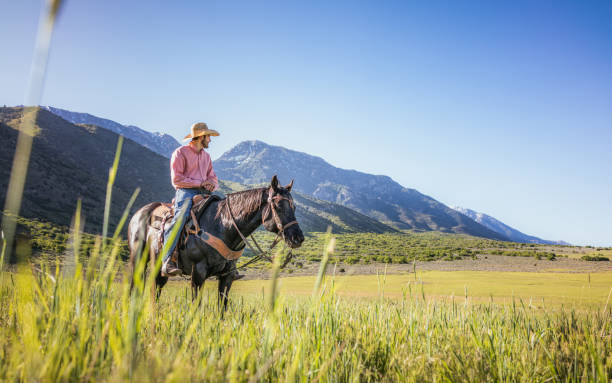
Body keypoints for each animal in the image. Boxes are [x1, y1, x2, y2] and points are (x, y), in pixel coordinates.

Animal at [126, 176, 304, 310]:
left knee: (157, 288)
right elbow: (195, 306)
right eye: (278, 205)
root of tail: (141, 213)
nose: (298, 238)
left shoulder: (227, 276)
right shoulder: (198, 272)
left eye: (294, 207)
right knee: (136, 287)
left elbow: (222, 308)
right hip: (139, 260)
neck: (222, 225)